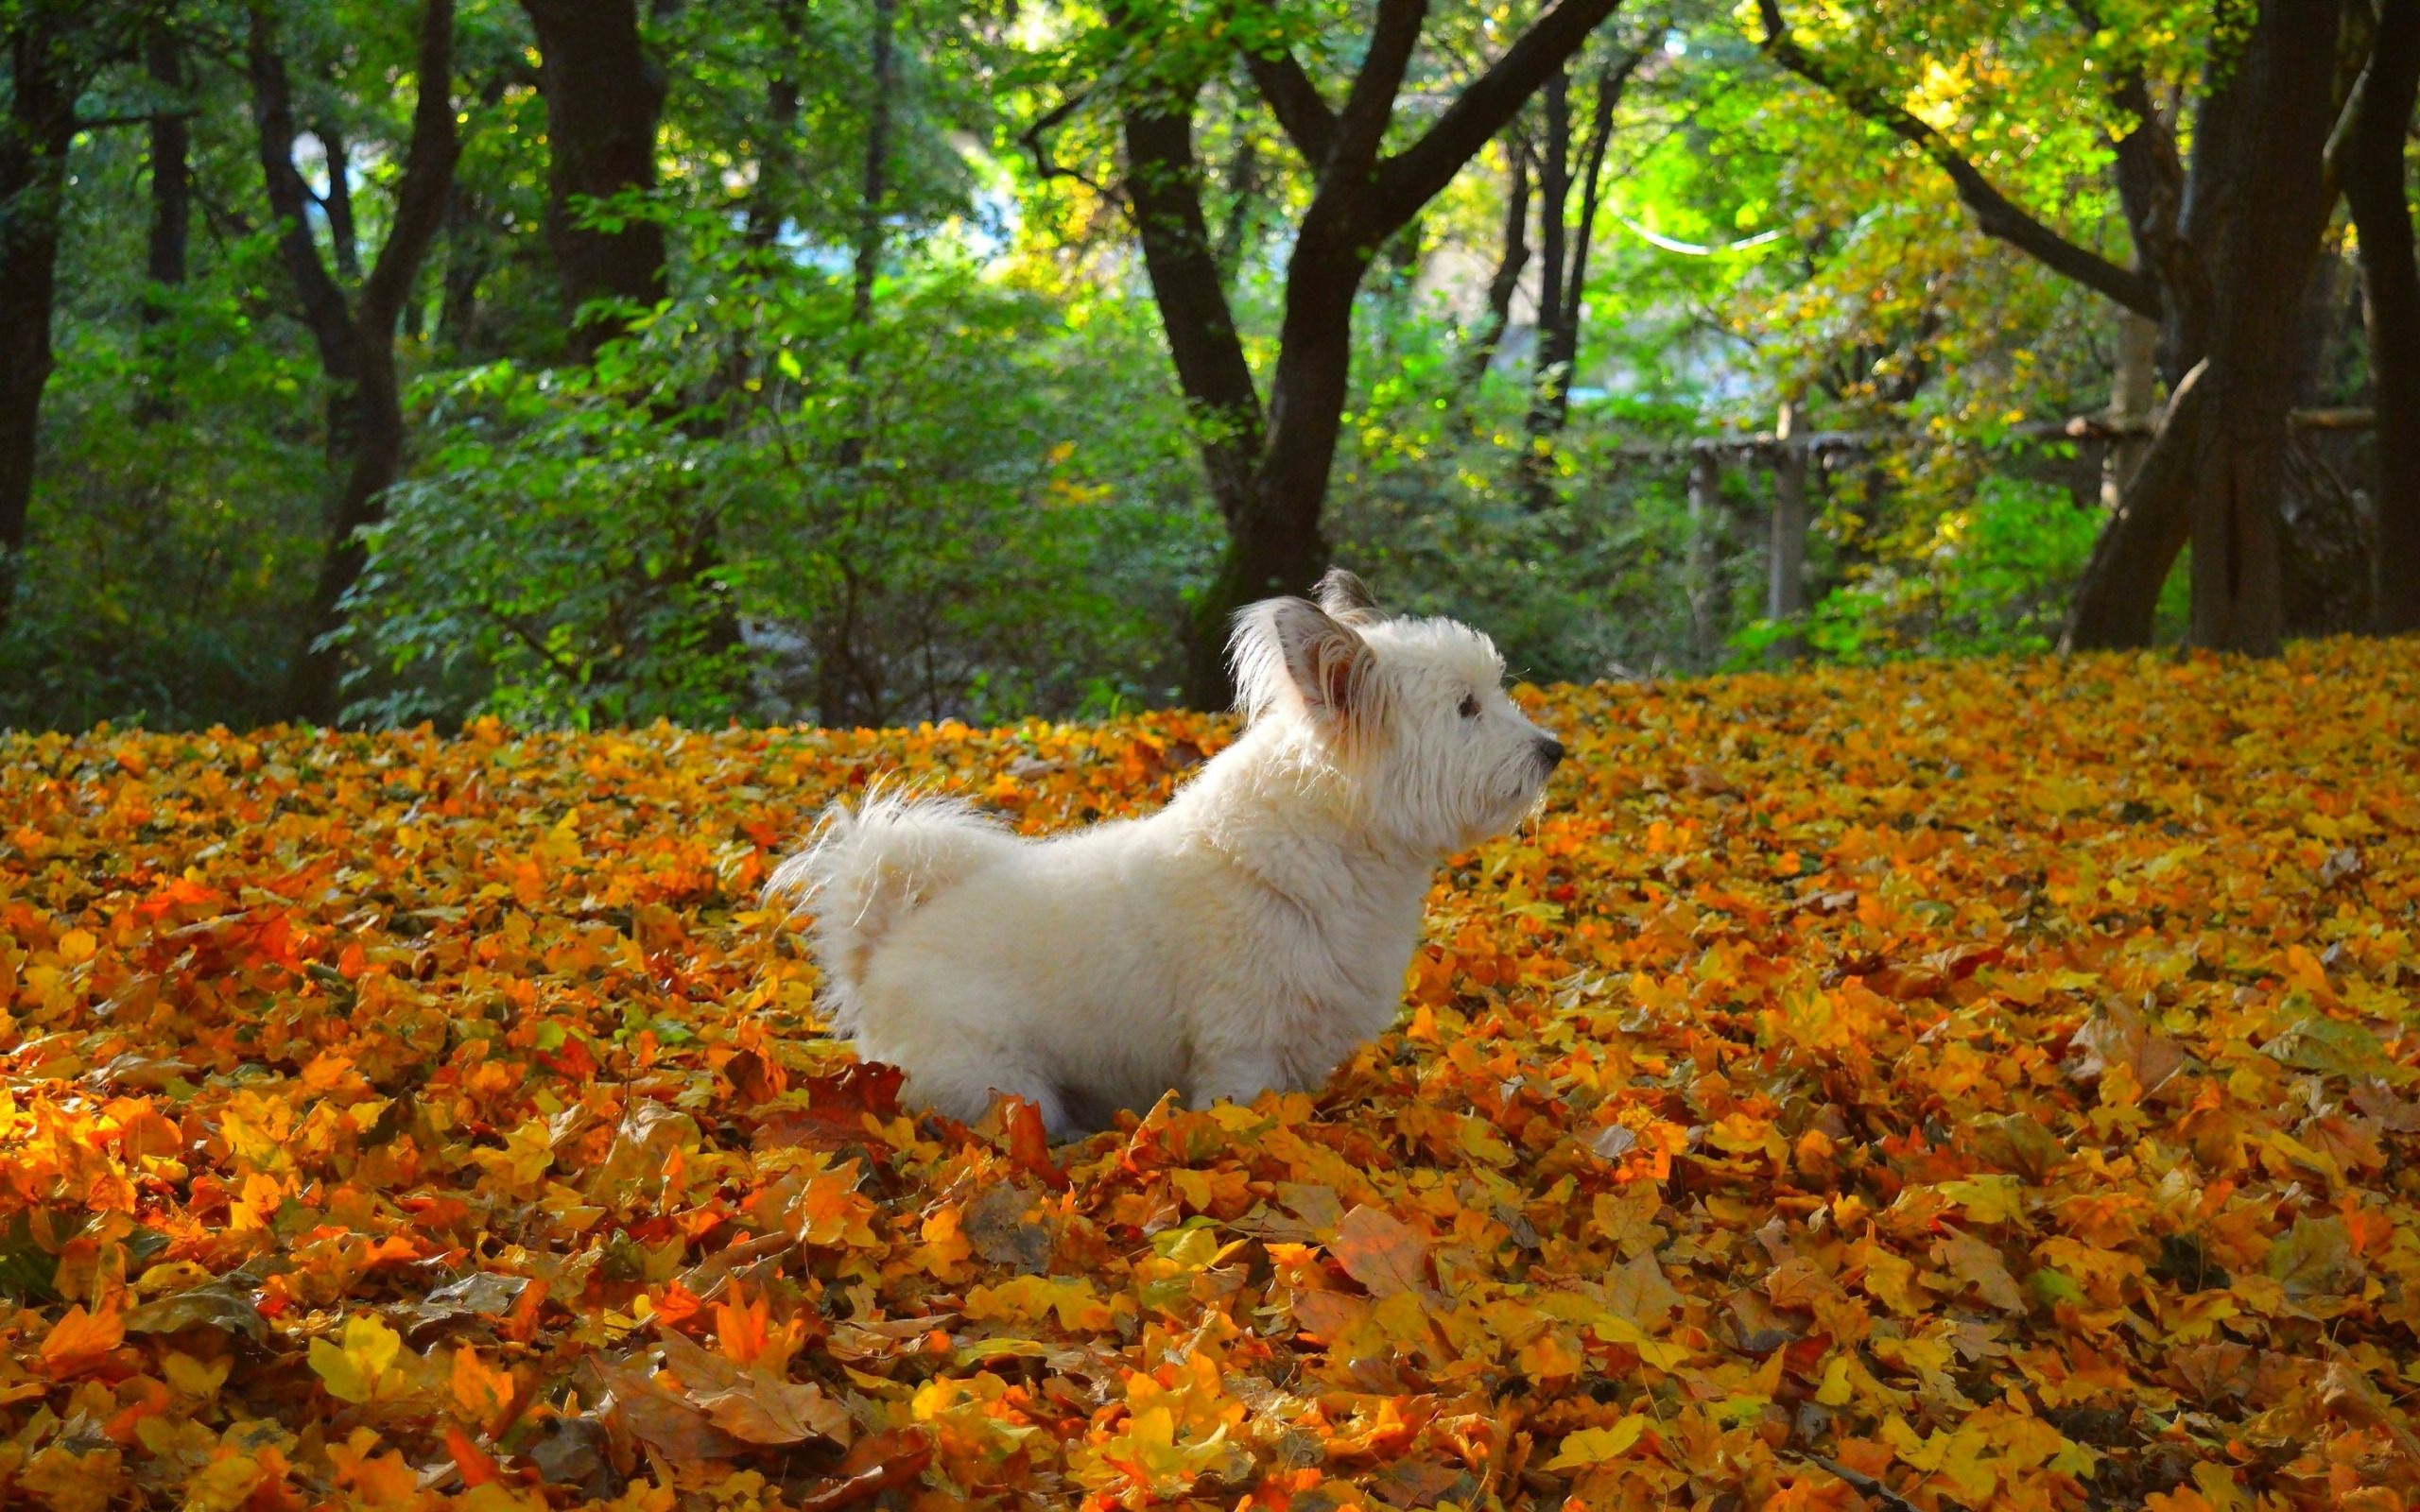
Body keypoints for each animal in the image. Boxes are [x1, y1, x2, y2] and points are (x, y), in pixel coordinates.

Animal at [774, 571, 1567, 1137]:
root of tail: (878, 946)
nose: (1552, 750)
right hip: (1002, 1085)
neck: (1322, 850)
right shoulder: (1240, 1054)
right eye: (1466, 708)